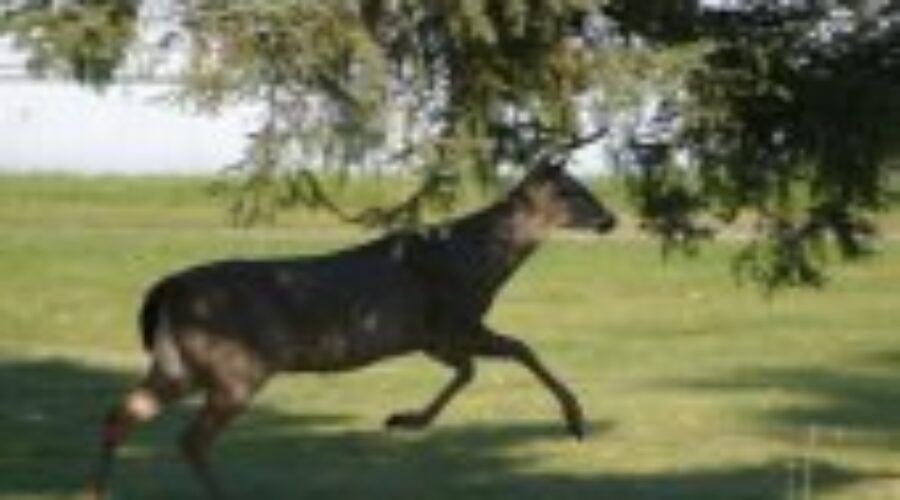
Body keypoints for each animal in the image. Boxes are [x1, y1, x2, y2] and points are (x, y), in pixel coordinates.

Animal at [88, 142, 617, 499]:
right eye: (571, 191)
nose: (610, 219)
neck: (481, 263)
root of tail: (165, 290)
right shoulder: (452, 321)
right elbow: (516, 351)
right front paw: (576, 421)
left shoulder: (434, 337)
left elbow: (477, 367)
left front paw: (405, 419)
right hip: (236, 365)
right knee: (191, 439)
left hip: (179, 363)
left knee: (121, 415)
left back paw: (97, 492)